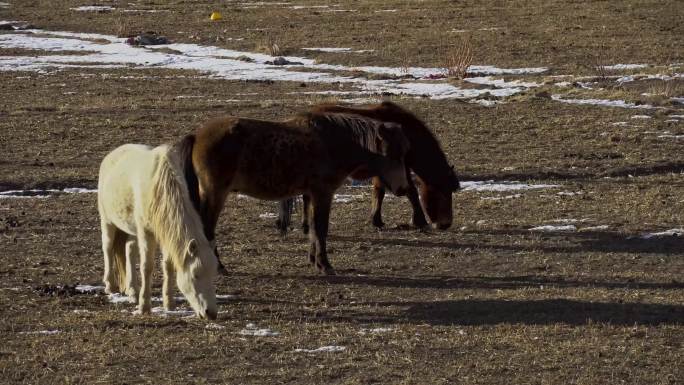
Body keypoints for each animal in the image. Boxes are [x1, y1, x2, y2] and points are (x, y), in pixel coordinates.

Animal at [97, 141, 216, 318]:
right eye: (195, 275)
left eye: (213, 274)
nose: (211, 313)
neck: (160, 187)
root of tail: (111, 155)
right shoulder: (147, 233)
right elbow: (147, 266)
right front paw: (144, 306)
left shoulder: (166, 234)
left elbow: (168, 266)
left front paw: (169, 303)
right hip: (108, 221)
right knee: (108, 248)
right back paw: (110, 285)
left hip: (132, 230)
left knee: (129, 250)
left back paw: (133, 290)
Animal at [183, 110, 412, 272]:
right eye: (392, 154)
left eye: (404, 153)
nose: (403, 188)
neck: (333, 143)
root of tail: (197, 135)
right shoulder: (322, 193)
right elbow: (320, 228)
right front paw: (325, 265)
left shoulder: (311, 194)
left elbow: (312, 228)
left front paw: (314, 260)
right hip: (215, 193)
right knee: (207, 229)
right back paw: (219, 267)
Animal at [276, 100, 460, 232]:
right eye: (443, 192)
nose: (446, 224)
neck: (407, 133)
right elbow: (411, 191)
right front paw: (419, 221)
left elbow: (380, 192)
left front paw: (377, 220)